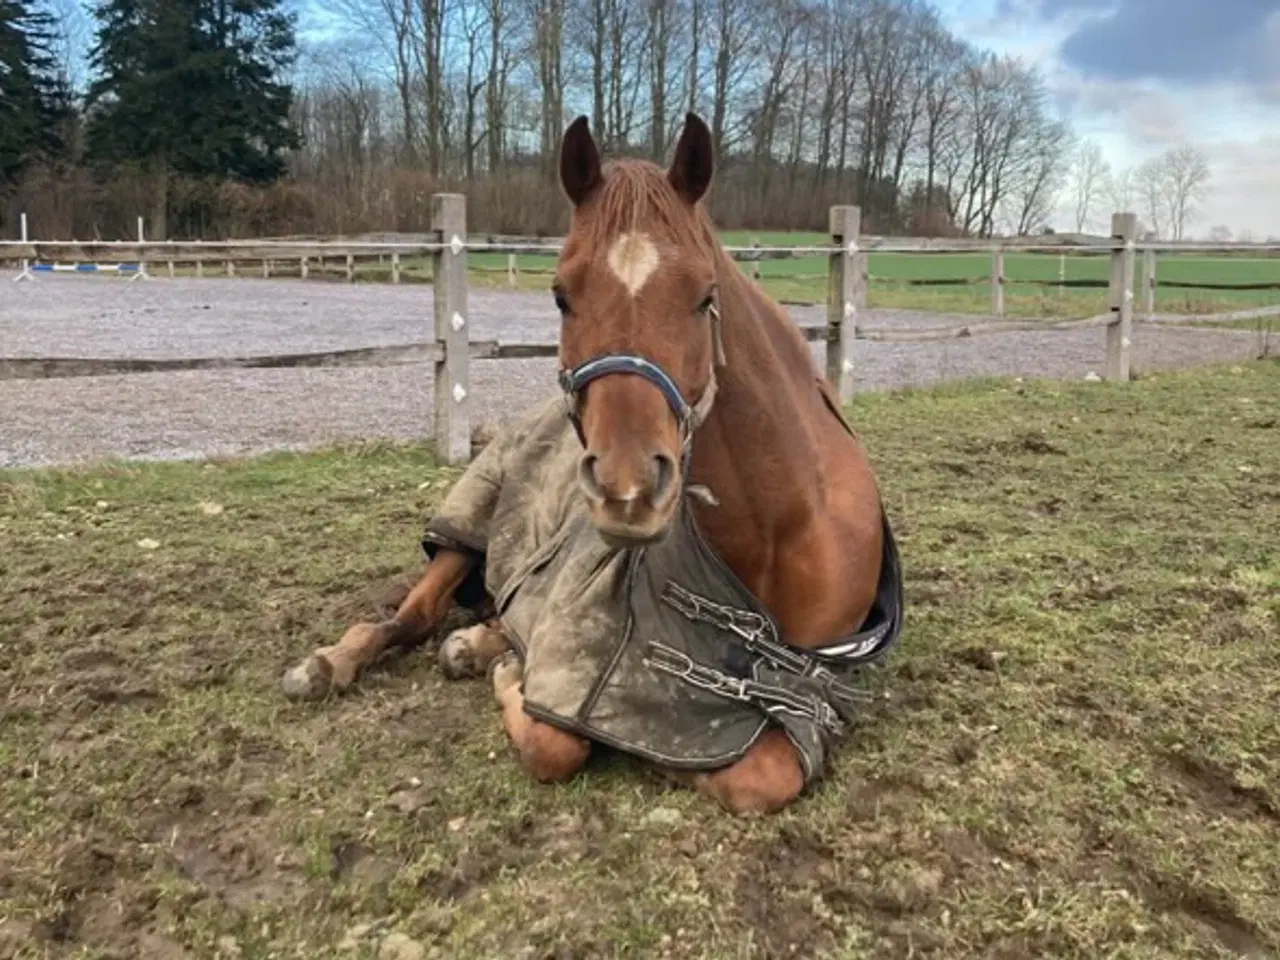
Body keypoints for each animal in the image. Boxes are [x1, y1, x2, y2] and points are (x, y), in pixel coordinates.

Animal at [280, 114, 901, 819]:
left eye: (704, 295)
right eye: (560, 295)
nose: (626, 490)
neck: (783, 527)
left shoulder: (808, 693)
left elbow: (757, 773)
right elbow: (555, 742)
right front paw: (512, 676)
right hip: (465, 531)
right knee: (412, 615)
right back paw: (334, 663)